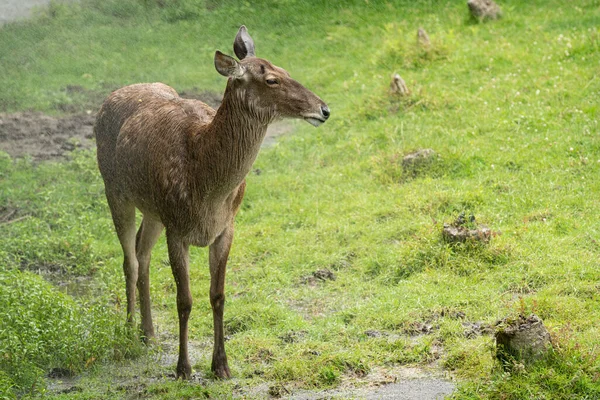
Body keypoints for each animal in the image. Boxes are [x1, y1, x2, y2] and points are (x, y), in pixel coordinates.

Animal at [94, 25, 330, 378]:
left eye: (287, 70)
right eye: (271, 79)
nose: (324, 109)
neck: (205, 186)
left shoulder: (225, 227)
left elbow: (217, 295)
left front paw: (221, 366)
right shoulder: (177, 229)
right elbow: (184, 300)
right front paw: (183, 368)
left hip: (154, 209)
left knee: (141, 251)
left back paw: (149, 334)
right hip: (115, 189)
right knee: (130, 260)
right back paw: (129, 331)